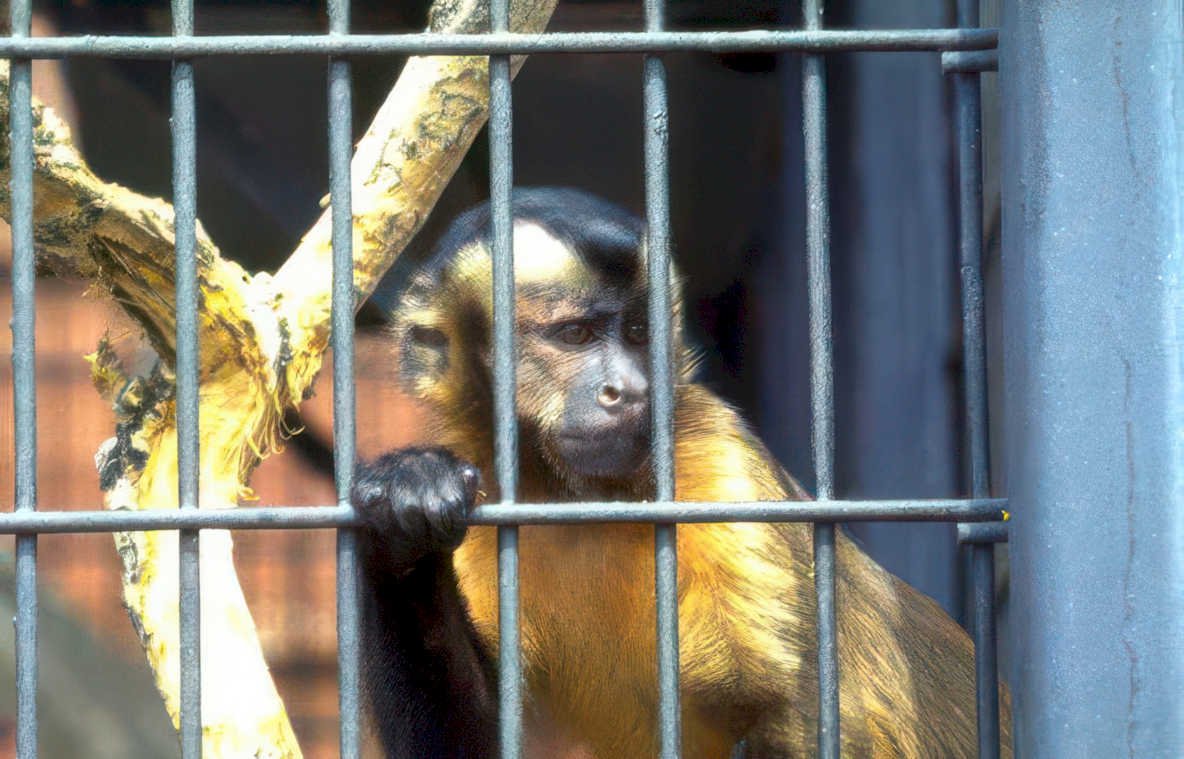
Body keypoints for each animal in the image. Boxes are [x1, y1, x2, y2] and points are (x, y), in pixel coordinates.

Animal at [352, 187, 1012, 758]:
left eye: (638, 333)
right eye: (576, 335)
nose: (631, 389)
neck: (587, 497)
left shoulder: (719, 461)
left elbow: (806, 720)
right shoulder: (488, 486)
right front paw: (405, 515)